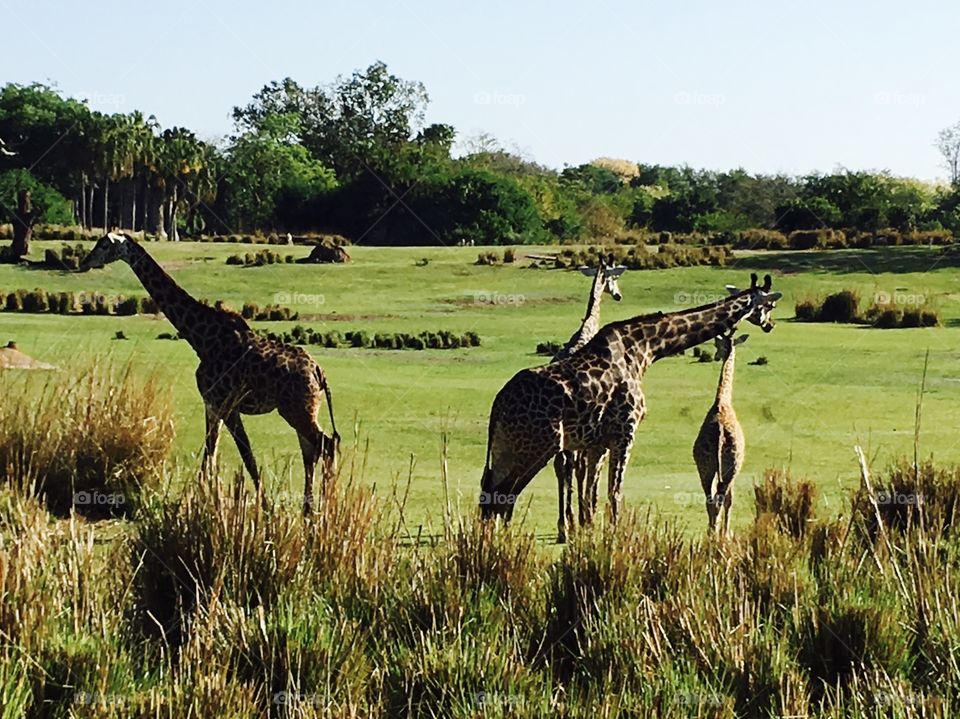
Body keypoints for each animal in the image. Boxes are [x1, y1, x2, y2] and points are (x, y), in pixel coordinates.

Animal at [78, 233, 340, 514]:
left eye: (104, 245)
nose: (85, 261)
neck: (200, 338)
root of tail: (319, 372)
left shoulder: (226, 403)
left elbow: (244, 457)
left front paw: (261, 506)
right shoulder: (211, 404)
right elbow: (211, 454)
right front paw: (205, 504)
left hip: (296, 410)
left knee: (326, 445)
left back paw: (324, 508)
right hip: (304, 409)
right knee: (312, 450)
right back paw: (308, 511)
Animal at [552, 254, 625, 543]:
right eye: (613, 278)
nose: (618, 295)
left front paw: (581, 517)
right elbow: (586, 469)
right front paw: (587, 515)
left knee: (561, 465)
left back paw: (564, 525)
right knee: (571, 466)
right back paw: (571, 523)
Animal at [693, 331, 748, 536]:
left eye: (718, 345)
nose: (716, 356)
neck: (722, 401)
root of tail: (720, 434)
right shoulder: (734, 470)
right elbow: (730, 500)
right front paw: (726, 533)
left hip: (705, 467)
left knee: (710, 500)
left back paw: (710, 533)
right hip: (730, 466)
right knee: (720, 499)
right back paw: (717, 535)